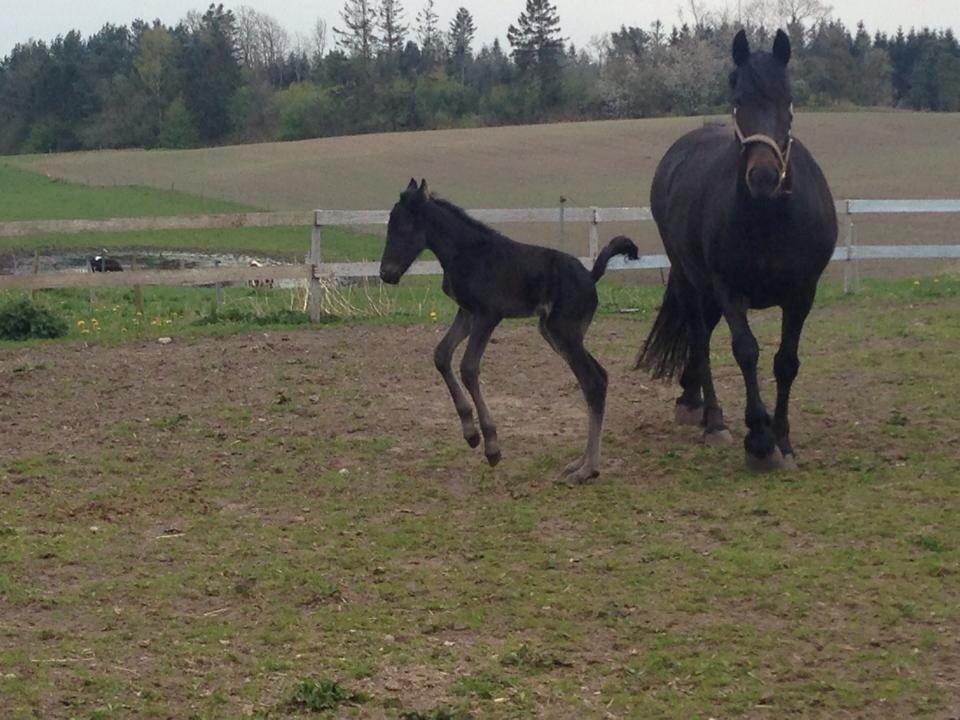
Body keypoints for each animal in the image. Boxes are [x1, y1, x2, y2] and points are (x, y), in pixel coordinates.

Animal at [380, 180, 636, 484]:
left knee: (593, 382)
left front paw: (491, 446)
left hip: (564, 332)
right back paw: (580, 463)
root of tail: (590, 275)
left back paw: (587, 470)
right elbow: (441, 356)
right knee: (599, 378)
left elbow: (468, 368)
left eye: (404, 228)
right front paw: (470, 434)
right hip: (554, 332)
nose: (386, 274)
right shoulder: (467, 313)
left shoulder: (488, 315)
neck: (466, 252)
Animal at [640, 31, 836, 472]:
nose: (763, 176)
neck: (770, 218)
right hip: (692, 281)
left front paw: (783, 440)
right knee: (699, 336)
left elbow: (786, 362)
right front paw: (759, 440)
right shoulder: (730, 289)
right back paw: (711, 418)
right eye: (739, 100)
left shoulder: (802, 294)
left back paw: (691, 399)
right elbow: (746, 351)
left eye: (787, 100)